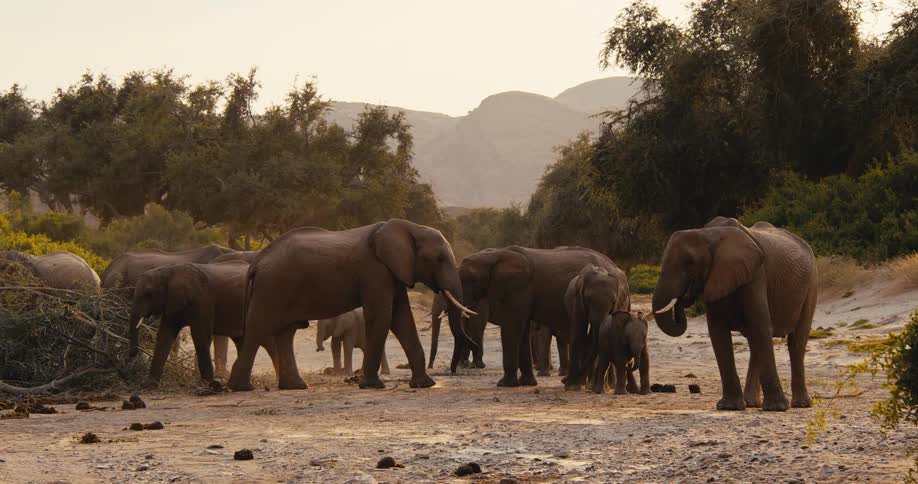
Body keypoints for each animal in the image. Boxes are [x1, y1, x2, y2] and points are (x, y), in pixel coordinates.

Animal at [127, 260, 283, 385]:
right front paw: (149, 384)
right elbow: (164, 336)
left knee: (267, 342)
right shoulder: (172, 303)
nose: (133, 354)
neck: (170, 270)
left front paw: (209, 385)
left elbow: (200, 336)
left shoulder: (203, 300)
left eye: (148, 293)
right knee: (242, 341)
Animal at [227, 219, 477, 391]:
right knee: (258, 327)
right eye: (439, 259)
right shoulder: (375, 271)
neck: (409, 227)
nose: (455, 370)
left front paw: (424, 384)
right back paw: (242, 388)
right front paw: (372, 386)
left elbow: (402, 318)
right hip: (272, 287)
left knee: (286, 332)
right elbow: (382, 316)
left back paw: (295, 387)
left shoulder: (393, 273)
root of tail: (257, 262)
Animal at [444, 246, 624, 387]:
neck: (495, 255)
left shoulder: (519, 288)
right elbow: (522, 330)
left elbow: (512, 327)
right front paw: (526, 383)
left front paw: (504, 384)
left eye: (471, 279)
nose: (453, 372)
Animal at [651, 217, 817, 411]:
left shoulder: (756, 275)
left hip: (811, 283)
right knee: (757, 342)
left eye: (690, 262)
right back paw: (752, 403)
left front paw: (776, 408)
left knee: (796, 341)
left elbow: (760, 325)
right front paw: (729, 407)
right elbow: (718, 332)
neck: (709, 234)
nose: (682, 298)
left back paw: (801, 404)